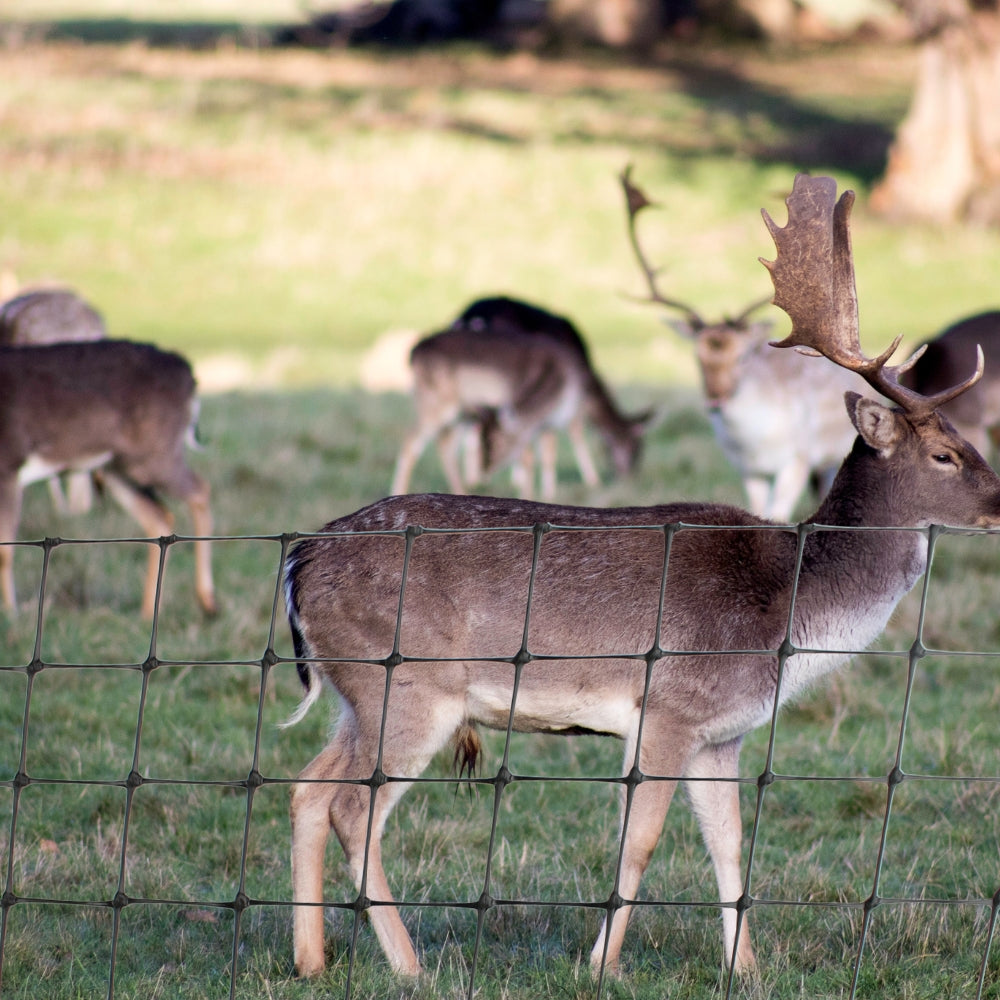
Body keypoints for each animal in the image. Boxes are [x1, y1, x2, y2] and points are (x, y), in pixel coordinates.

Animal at [0, 338, 215, 616]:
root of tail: (187, 373)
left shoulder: (8, 464)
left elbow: (4, 552)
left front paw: (10, 614)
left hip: (154, 454)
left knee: (200, 490)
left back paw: (207, 601)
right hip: (118, 467)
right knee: (159, 516)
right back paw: (147, 613)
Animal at [620, 164, 864, 520]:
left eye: (743, 356)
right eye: (696, 357)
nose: (716, 398)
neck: (754, 444)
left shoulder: (798, 458)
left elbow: (779, 514)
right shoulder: (748, 470)